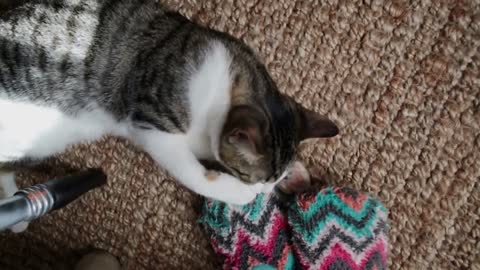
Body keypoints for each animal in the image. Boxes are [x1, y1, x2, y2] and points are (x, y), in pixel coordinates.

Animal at [0, 0, 338, 205]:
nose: (266, 190)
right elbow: (193, 173)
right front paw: (241, 195)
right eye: (247, 177)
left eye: (275, 178)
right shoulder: (151, 122)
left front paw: (296, 174)